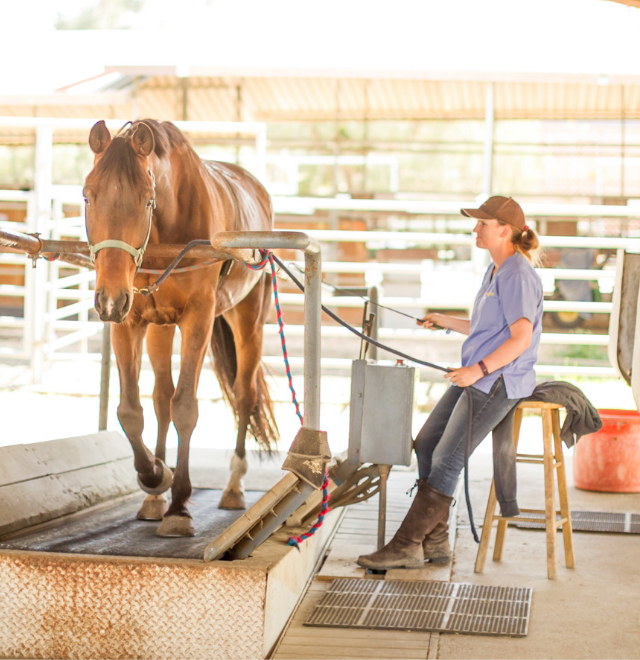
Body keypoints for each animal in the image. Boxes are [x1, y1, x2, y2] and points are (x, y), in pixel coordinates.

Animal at [83, 120, 278, 536]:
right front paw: (155, 475)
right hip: (158, 326)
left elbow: (186, 407)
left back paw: (233, 486)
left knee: (244, 395)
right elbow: (131, 411)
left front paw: (180, 506)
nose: (107, 298)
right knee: (161, 398)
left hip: (249, 317)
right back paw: (155, 497)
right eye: (88, 196)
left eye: (146, 200)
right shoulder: (128, 319)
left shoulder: (198, 317)